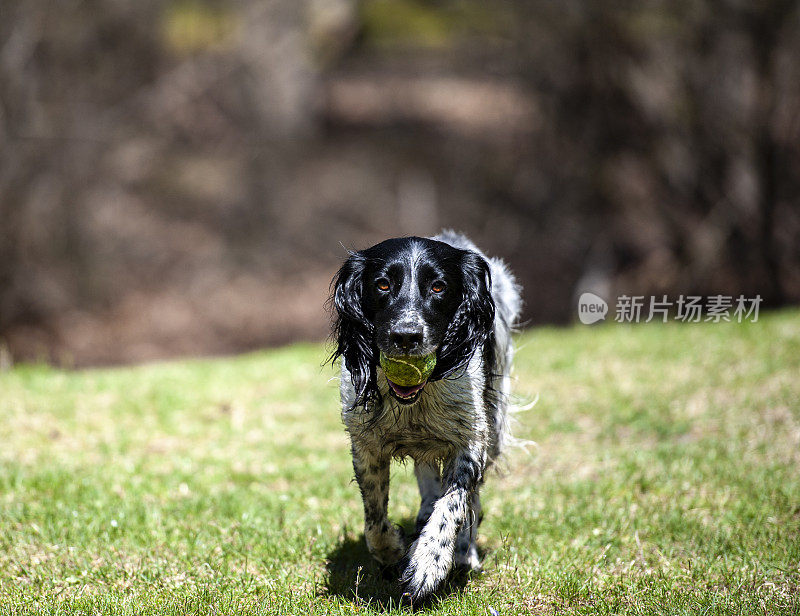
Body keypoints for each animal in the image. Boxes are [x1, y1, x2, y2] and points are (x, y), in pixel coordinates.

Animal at [328, 231, 520, 600]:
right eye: (383, 284)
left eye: (438, 287)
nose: (406, 336)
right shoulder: (366, 445)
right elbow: (374, 519)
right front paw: (393, 550)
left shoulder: (471, 441)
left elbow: (453, 506)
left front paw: (429, 564)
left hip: (495, 427)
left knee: (469, 501)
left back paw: (462, 553)